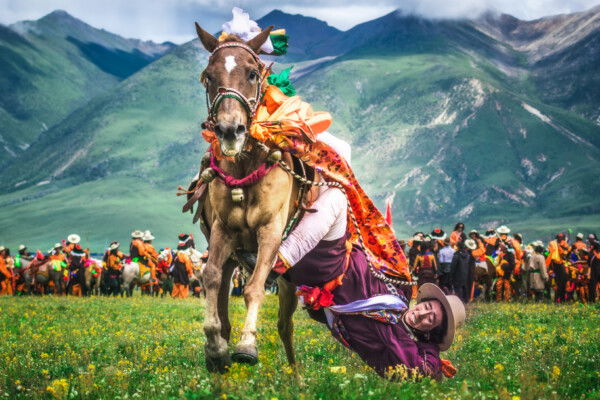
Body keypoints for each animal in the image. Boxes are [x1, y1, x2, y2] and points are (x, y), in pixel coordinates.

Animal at [192, 23, 302, 374]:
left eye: (253, 73)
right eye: (208, 76)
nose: (230, 131)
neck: (244, 166)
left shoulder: (270, 232)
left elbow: (254, 288)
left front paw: (247, 346)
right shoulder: (222, 232)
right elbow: (210, 277)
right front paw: (215, 346)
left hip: (287, 277)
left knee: (285, 325)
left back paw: (296, 377)